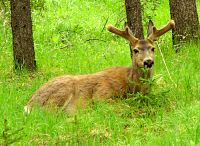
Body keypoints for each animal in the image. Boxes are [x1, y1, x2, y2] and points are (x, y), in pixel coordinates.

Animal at [24, 20, 175, 114]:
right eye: (135, 50)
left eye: (153, 48)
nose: (148, 62)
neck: (132, 87)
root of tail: (29, 104)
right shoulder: (101, 95)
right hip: (59, 94)